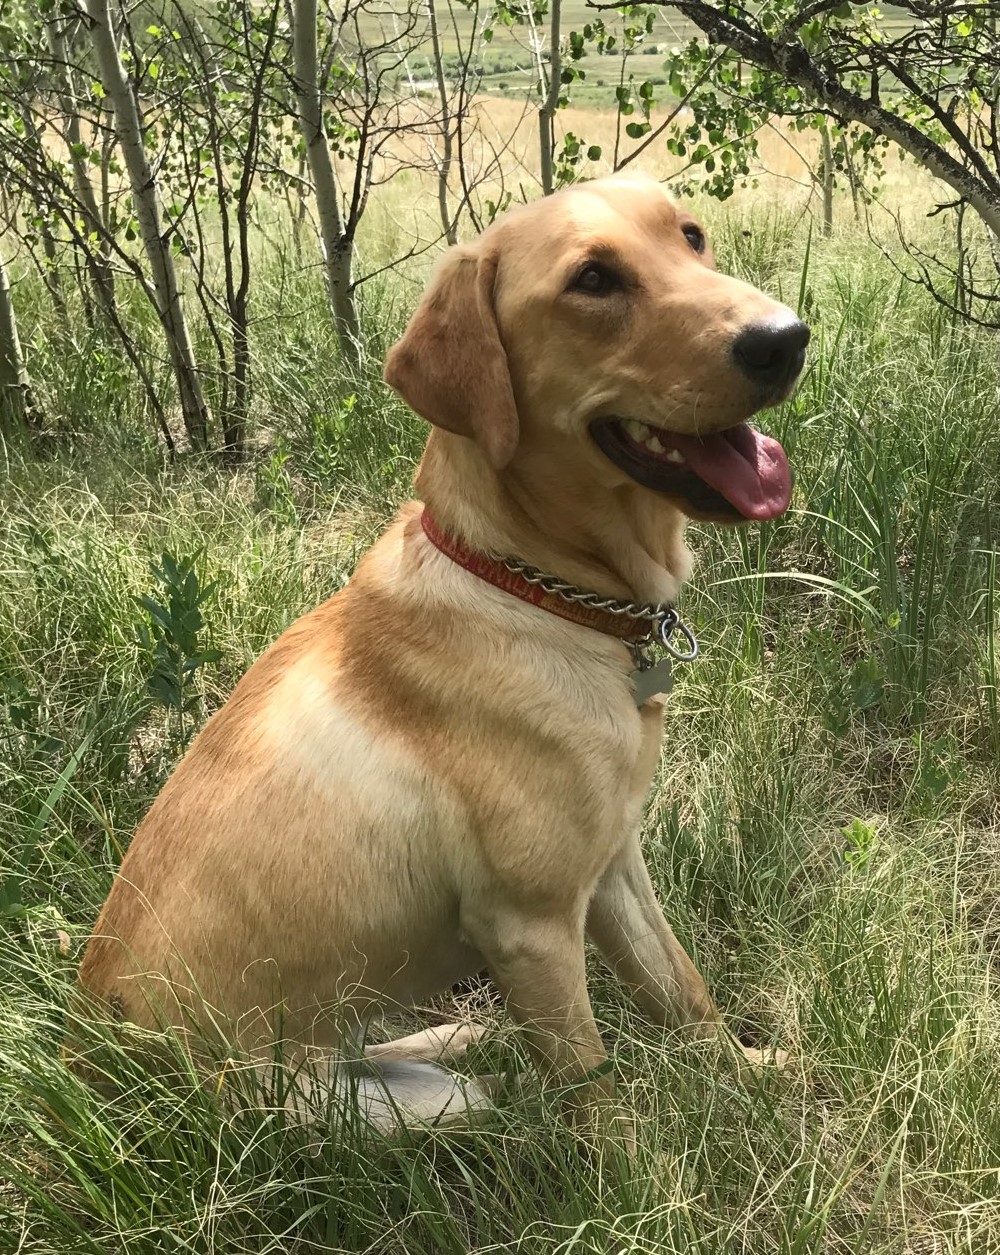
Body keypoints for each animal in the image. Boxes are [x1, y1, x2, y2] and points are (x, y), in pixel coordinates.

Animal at [76, 171, 813, 1144]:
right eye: (593, 281)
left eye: (690, 236)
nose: (785, 338)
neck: (535, 586)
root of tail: (88, 1062)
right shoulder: (531, 923)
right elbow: (596, 1089)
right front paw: (641, 1169)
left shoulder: (615, 866)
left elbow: (683, 991)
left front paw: (752, 1074)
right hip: (352, 1104)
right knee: (459, 1090)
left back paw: (459, 1029)